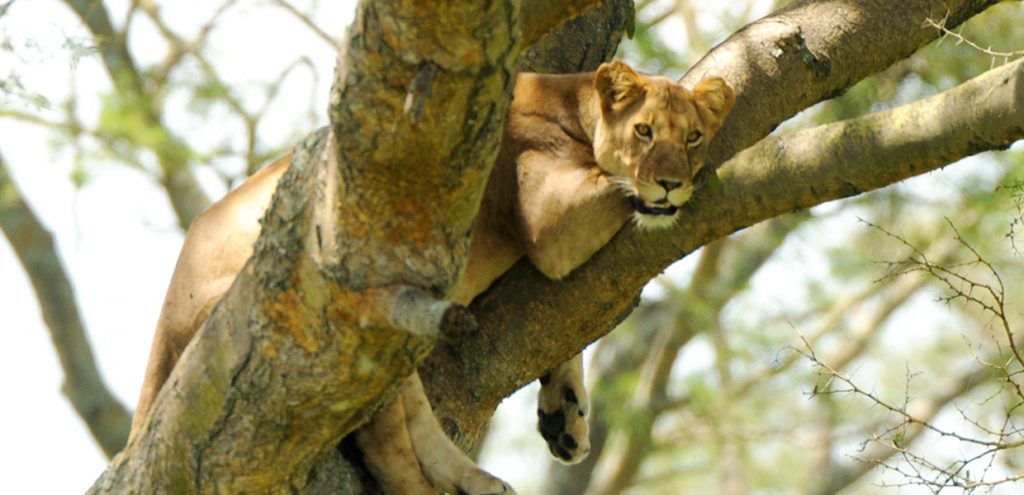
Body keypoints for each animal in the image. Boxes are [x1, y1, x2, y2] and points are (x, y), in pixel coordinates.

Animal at [130, 62, 737, 495]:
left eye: (693, 136)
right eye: (644, 131)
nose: (669, 182)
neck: (575, 105)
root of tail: (162, 322)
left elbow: (574, 323)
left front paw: (565, 414)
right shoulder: (549, 223)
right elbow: (614, 196)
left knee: (414, 415)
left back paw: (479, 481)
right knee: (386, 449)